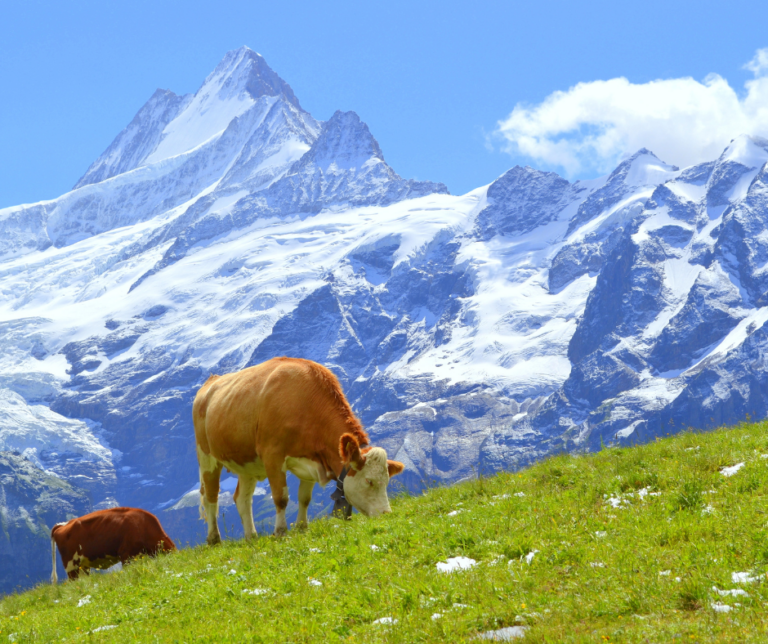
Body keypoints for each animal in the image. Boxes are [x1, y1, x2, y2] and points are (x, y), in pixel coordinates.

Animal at [193, 357, 405, 542]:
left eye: (387, 481)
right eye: (369, 481)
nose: (386, 513)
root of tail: (211, 380)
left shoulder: (312, 460)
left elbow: (304, 498)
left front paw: (302, 527)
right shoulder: (273, 455)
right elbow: (281, 498)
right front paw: (280, 532)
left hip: (247, 463)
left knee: (242, 498)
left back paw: (251, 537)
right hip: (206, 457)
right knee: (211, 496)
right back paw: (214, 539)